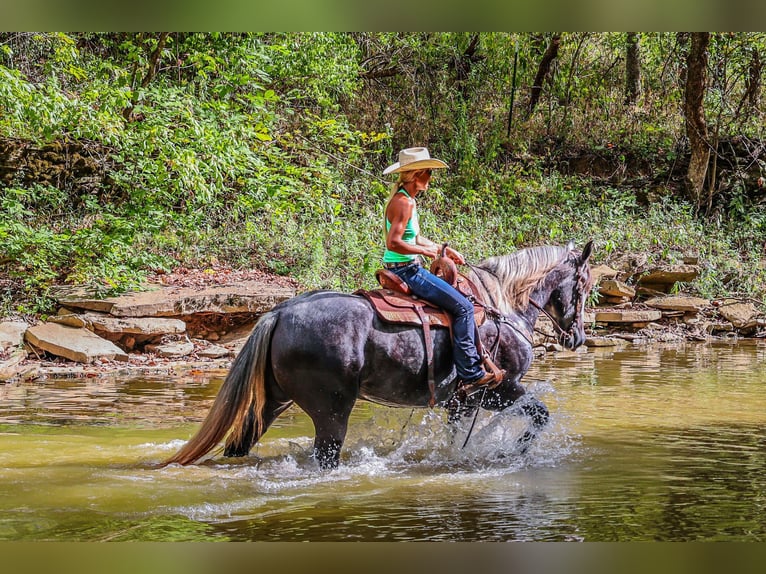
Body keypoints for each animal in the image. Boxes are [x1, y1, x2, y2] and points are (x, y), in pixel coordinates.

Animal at [164, 241, 592, 470]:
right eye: (585, 285)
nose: (577, 338)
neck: (500, 306)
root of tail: (279, 313)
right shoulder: (498, 389)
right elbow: (540, 415)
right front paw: (511, 452)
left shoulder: (462, 403)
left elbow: (456, 437)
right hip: (332, 410)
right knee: (325, 453)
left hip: (272, 402)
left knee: (241, 443)